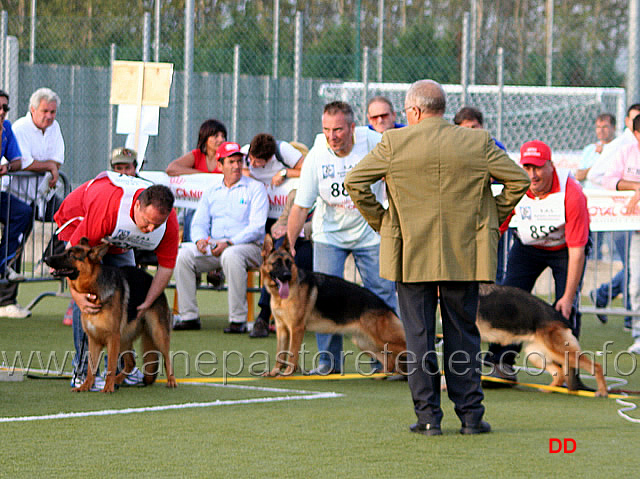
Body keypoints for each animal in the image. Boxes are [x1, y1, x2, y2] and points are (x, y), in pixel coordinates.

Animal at [44, 239, 178, 394]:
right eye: (65, 251)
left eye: (70, 254)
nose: (46, 259)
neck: (94, 290)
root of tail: (151, 279)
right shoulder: (93, 340)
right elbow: (91, 368)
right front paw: (86, 386)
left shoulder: (112, 338)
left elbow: (111, 366)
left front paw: (107, 387)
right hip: (124, 339)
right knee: (131, 362)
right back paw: (118, 380)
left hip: (157, 334)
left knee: (167, 358)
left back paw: (171, 380)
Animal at [258, 234, 404, 376]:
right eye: (276, 264)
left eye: (289, 263)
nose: (287, 275)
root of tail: (386, 306)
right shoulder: (282, 329)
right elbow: (280, 354)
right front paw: (274, 372)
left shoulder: (296, 328)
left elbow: (292, 354)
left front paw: (287, 372)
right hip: (365, 342)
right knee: (389, 360)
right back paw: (383, 374)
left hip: (383, 339)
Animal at [478, 284, 608, 398]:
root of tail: (562, 319)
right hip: (535, 355)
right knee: (560, 374)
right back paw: (548, 389)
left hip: (559, 353)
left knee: (596, 366)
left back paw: (602, 392)